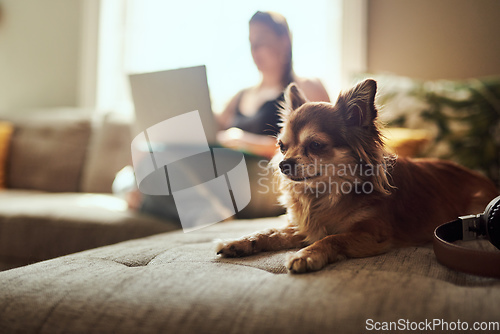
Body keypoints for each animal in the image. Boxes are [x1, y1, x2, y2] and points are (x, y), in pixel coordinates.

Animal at [216, 79, 500, 272]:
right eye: (282, 146)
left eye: (316, 145)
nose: (283, 164)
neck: (327, 193)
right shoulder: (305, 226)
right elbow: (270, 231)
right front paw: (240, 242)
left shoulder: (372, 234)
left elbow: (334, 237)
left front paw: (307, 255)